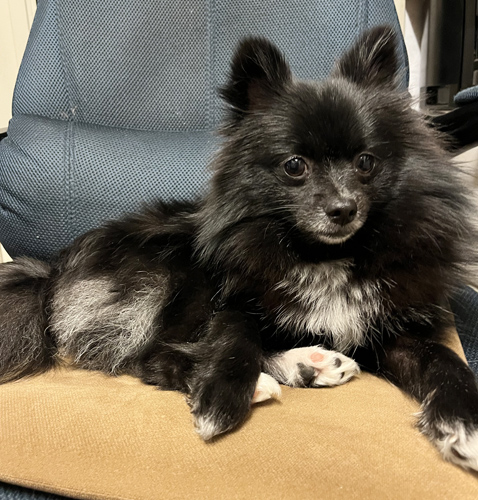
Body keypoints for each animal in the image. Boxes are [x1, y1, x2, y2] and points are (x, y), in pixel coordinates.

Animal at [1, 25, 478, 471]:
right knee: (148, 357)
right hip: (176, 276)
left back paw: (308, 365)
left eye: (366, 162)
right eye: (295, 166)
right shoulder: (233, 301)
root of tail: (53, 269)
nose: (343, 209)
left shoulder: (392, 330)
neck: (320, 254)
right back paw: (265, 379)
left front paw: (465, 421)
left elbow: (445, 360)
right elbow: (236, 338)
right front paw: (220, 397)